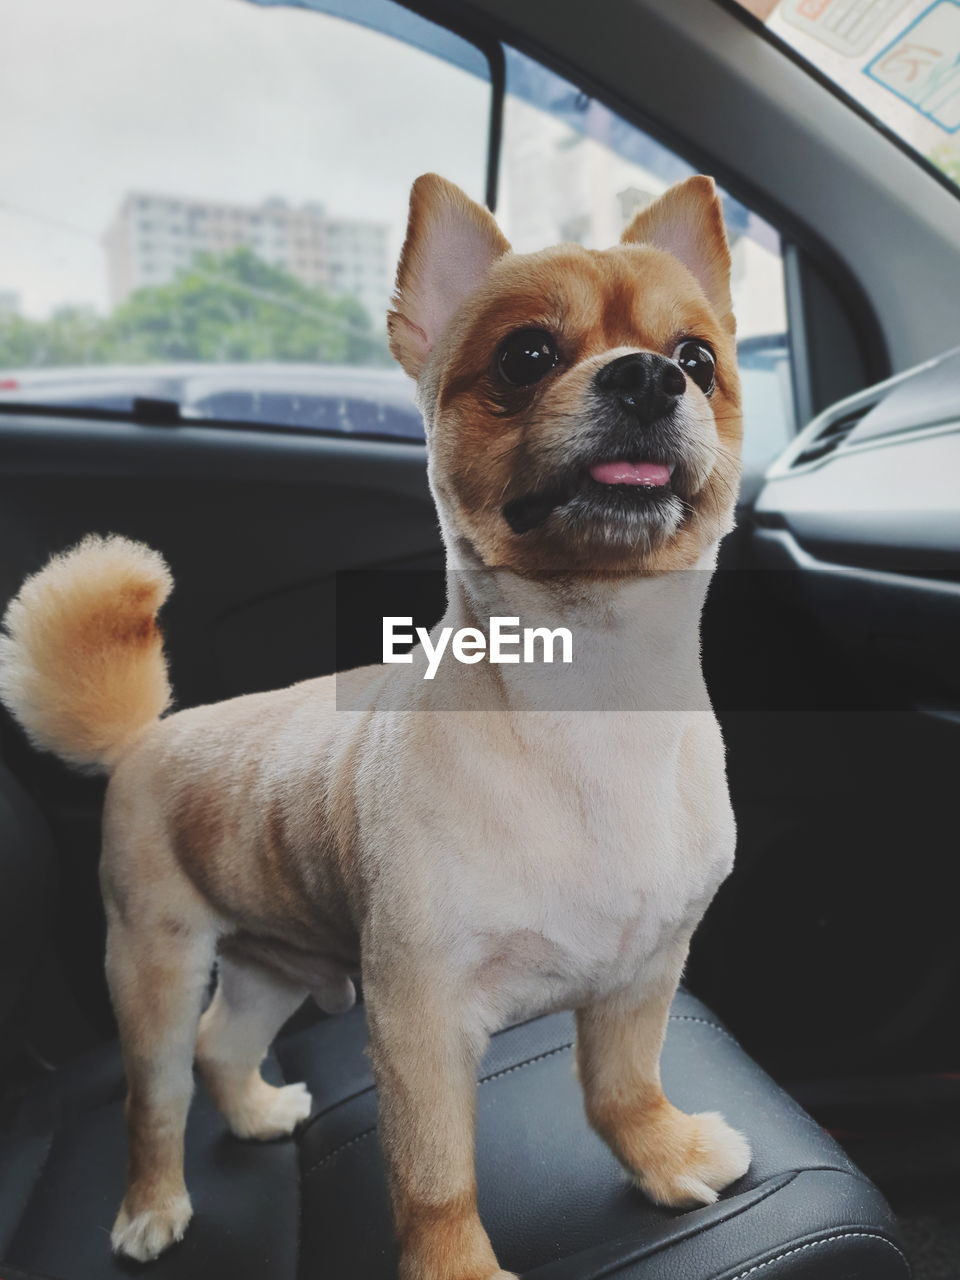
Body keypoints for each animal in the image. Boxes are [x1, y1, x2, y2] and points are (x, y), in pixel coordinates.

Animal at [0, 172, 752, 1280]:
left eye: (699, 359)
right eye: (527, 355)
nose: (651, 379)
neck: (592, 687)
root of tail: (149, 735)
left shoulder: (641, 974)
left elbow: (622, 1086)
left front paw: (665, 1155)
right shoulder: (421, 1025)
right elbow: (435, 1178)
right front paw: (457, 1268)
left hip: (274, 960)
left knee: (225, 1044)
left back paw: (258, 1110)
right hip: (153, 968)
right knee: (157, 1096)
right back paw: (151, 1205)